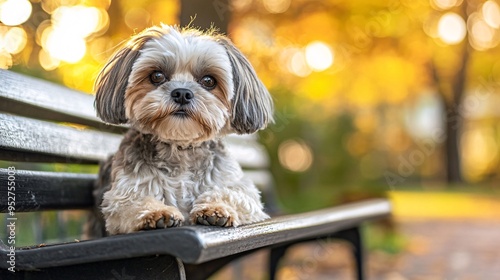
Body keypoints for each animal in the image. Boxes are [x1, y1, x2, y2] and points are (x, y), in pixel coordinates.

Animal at [93, 24, 274, 235]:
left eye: (209, 81)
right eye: (157, 76)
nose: (182, 93)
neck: (180, 149)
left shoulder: (240, 189)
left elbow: (233, 194)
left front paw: (215, 209)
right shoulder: (124, 192)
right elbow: (133, 201)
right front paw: (156, 213)